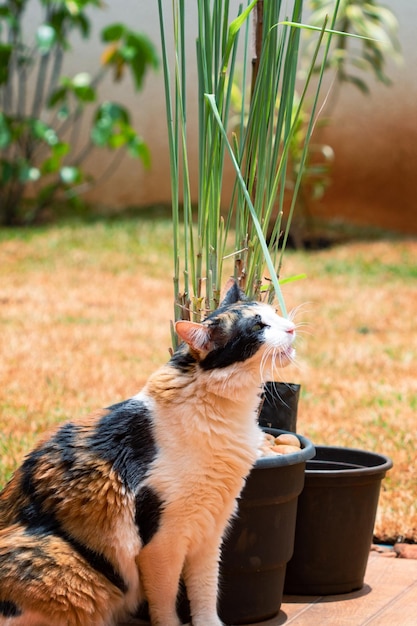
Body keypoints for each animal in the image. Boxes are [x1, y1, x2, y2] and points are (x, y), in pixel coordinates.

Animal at [0, 284, 296, 624]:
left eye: (274, 313)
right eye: (258, 327)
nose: (291, 327)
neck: (222, 413)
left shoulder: (209, 530)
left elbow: (205, 590)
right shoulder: (162, 541)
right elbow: (165, 598)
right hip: (62, 561)